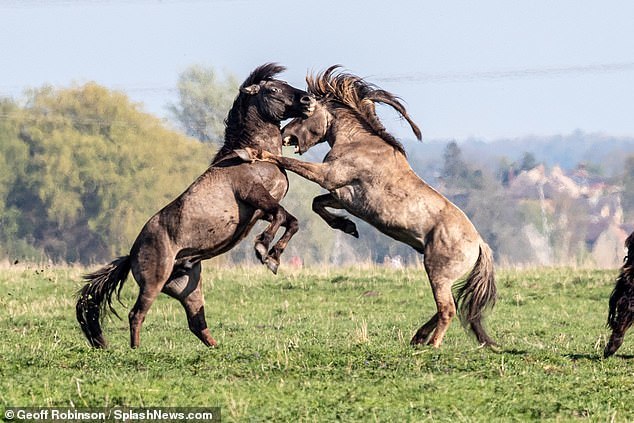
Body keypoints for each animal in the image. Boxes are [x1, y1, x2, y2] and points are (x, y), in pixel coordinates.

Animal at [76, 62, 314, 348]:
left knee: (196, 322)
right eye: (274, 89)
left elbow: (290, 221)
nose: (308, 101)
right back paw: (136, 350)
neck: (252, 155)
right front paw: (264, 252)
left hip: (187, 286)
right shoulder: (255, 195)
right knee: (137, 314)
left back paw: (216, 348)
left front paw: (273, 256)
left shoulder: (260, 210)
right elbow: (282, 217)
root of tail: (131, 254)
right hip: (154, 282)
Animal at [235, 67, 496, 348]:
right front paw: (347, 226)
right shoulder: (342, 195)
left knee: (447, 309)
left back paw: (431, 345)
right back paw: (418, 337)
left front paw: (252, 152)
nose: (284, 134)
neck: (357, 142)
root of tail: (480, 244)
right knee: (446, 307)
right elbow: (317, 203)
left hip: (437, 272)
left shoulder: (328, 176)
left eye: (307, 110)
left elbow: (289, 164)